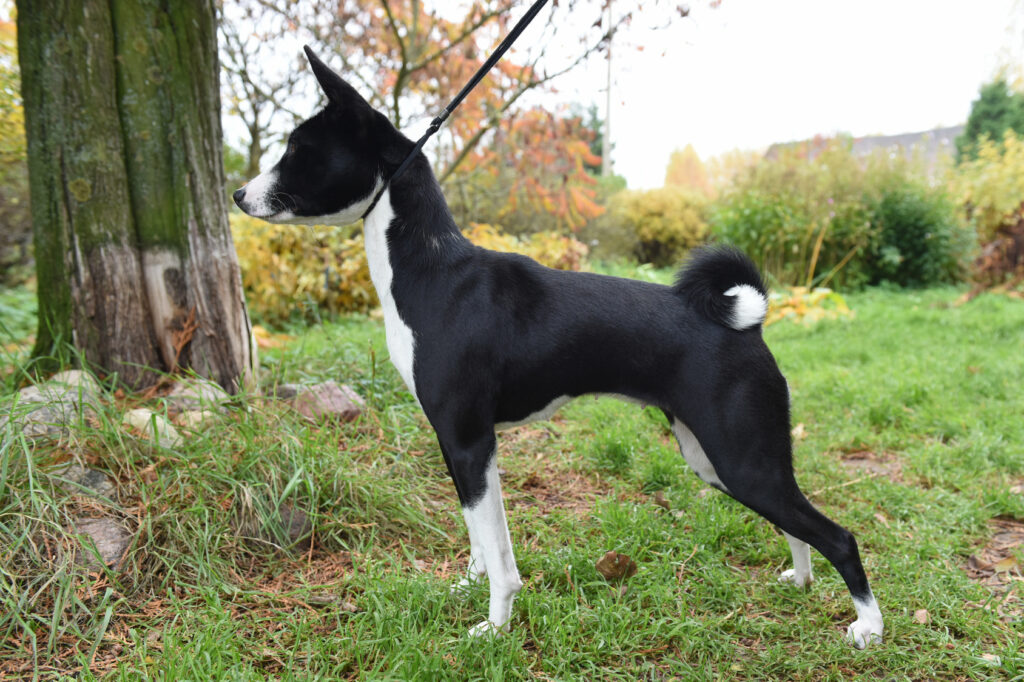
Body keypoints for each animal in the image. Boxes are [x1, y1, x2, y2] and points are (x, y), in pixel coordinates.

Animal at [235, 46, 884, 643]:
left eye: (298, 153)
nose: (239, 194)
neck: (432, 272)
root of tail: (746, 323)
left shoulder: (469, 441)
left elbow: (500, 555)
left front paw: (494, 627)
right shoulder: (460, 446)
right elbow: (481, 538)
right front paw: (469, 588)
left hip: (742, 460)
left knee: (840, 536)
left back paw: (869, 628)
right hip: (718, 459)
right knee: (798, 525)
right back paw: (800, 581)